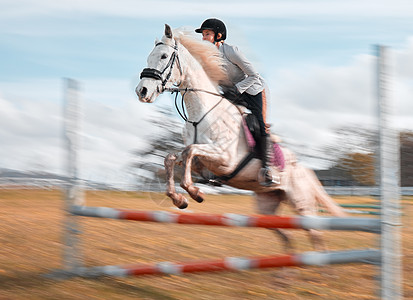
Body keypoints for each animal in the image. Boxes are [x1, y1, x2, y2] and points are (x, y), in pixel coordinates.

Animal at [135, 25, 344, 251]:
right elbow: (172, 158)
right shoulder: (202, 156)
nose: (142, 91)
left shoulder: (225, 158)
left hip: (301, 203)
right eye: (149, 57)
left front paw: (194, 192)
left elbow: (190, 152)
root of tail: (304, 169)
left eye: (164, 56)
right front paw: (179, 199)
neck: (201, 113)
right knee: (286, 236)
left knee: (316, 235)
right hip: (266, 205)